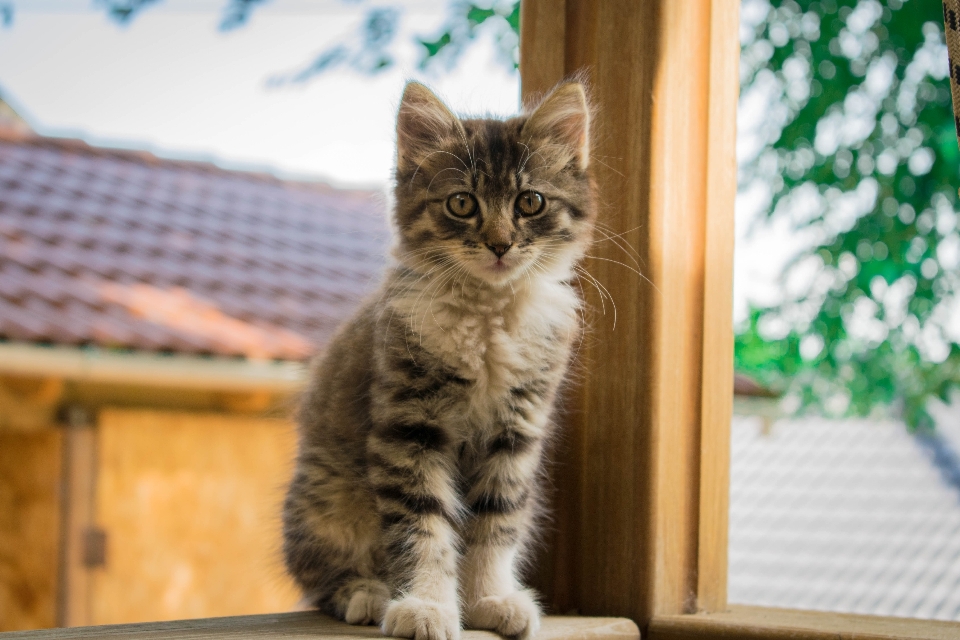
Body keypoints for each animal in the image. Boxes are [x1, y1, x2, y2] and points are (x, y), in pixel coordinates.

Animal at [282, 80, 596, 640]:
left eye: (530, 202)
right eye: (462, 203)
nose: (500, 244)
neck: (488, 317)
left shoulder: (516, 431)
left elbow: (495, 522)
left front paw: (490, 598)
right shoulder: (409, 426)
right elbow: (422, 525)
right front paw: (426, 605)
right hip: (327, 499)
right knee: (322, 576)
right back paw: (367, 594)